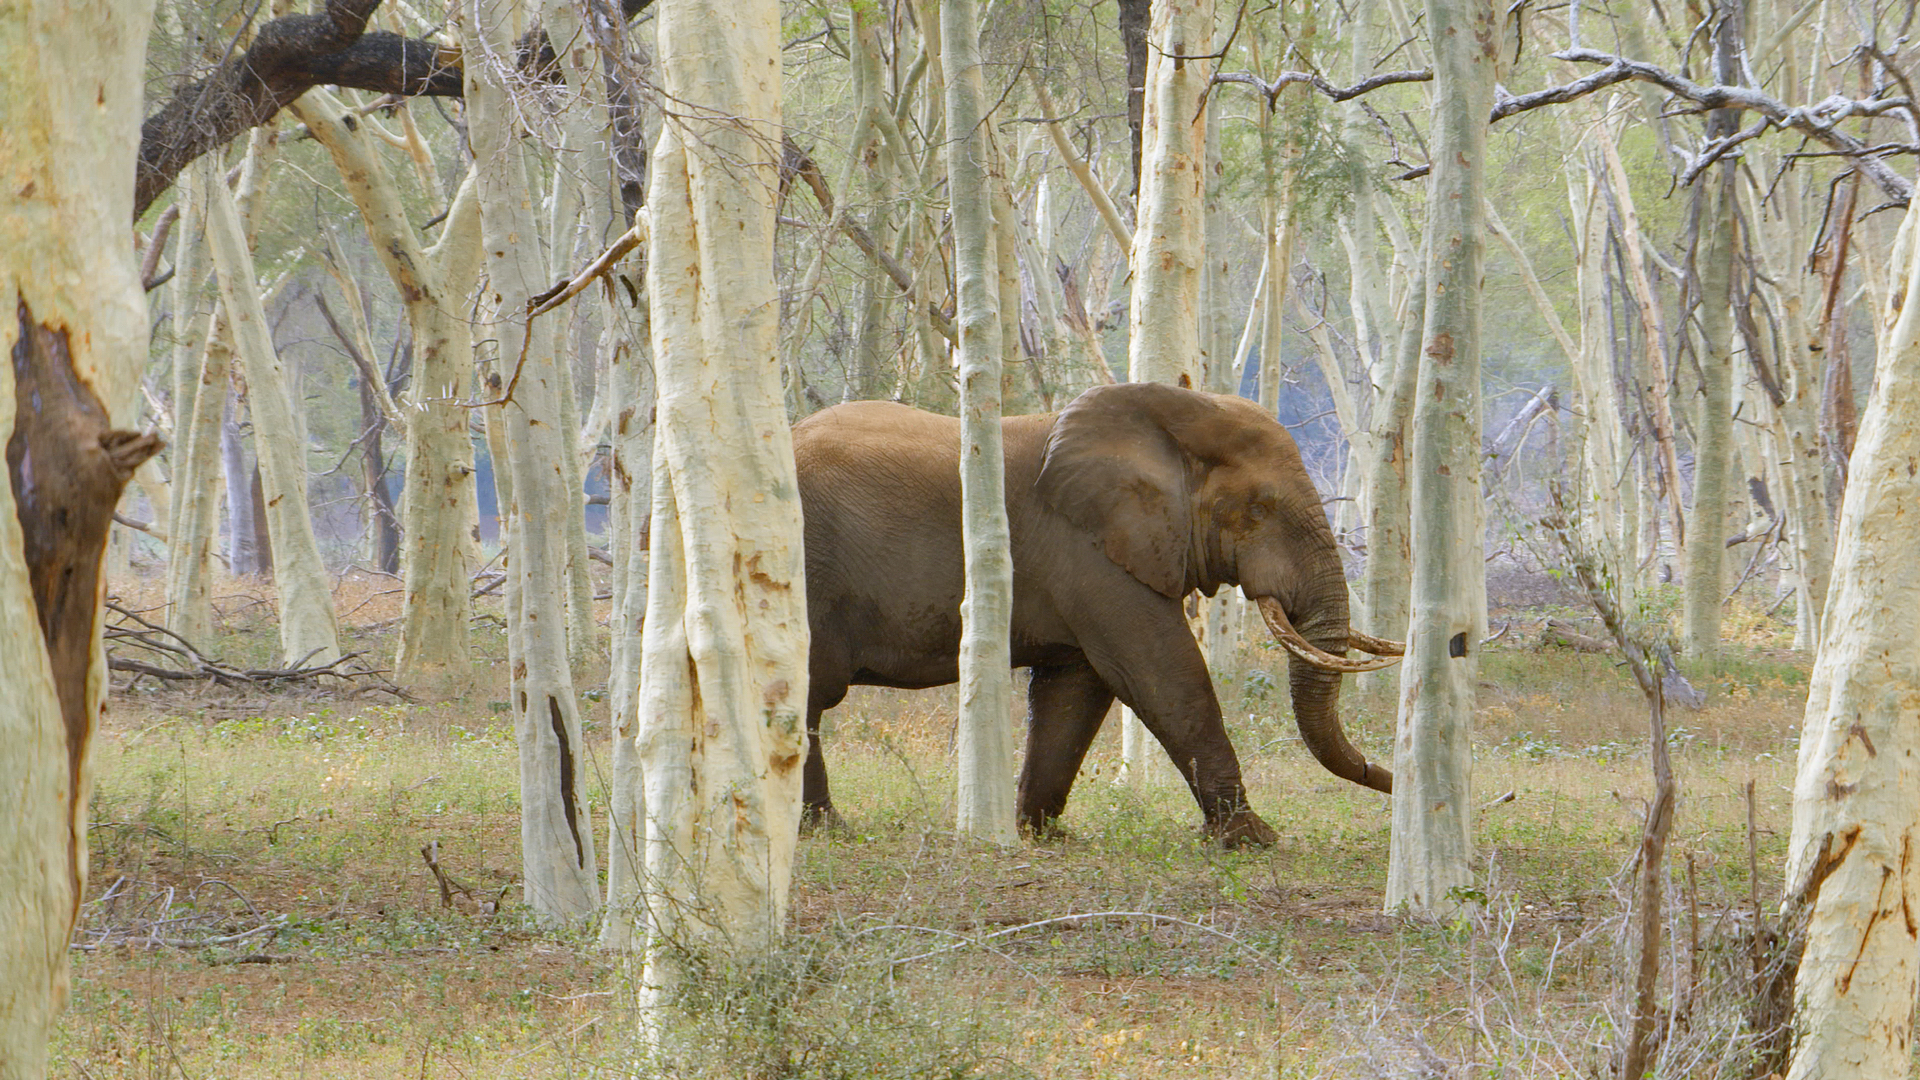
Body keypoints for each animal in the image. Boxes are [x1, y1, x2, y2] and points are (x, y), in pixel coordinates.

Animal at [787, 378, 1405, 841]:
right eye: (1259, 509)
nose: (1388, 778)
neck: (1174, 418)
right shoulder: (1093, 552)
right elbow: (1161, 673)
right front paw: (1252, 839)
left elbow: (1074, 690)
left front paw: (1039, 835)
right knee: (808, 693)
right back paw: (825, 830)